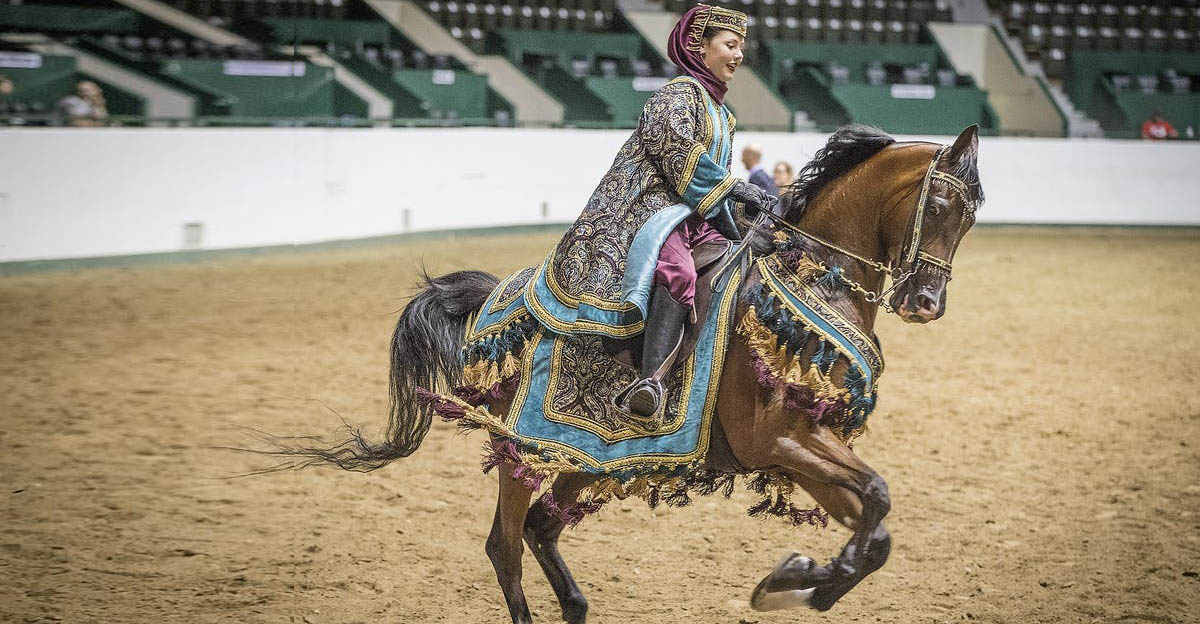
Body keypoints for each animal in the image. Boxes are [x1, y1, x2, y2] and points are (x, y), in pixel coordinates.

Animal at [262, 124, 984, 619]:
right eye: (938, 207)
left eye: (972, 215)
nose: (926, 302)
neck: (804, 285)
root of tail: (495, 300)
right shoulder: (779, 440)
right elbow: (879, 500)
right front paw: (797, 583)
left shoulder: (802, 449)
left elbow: (876, 524)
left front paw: (798, 579)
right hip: (520, 452)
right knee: (506, 546)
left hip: (586, 458)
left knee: (540, 530)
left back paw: (577, 605)